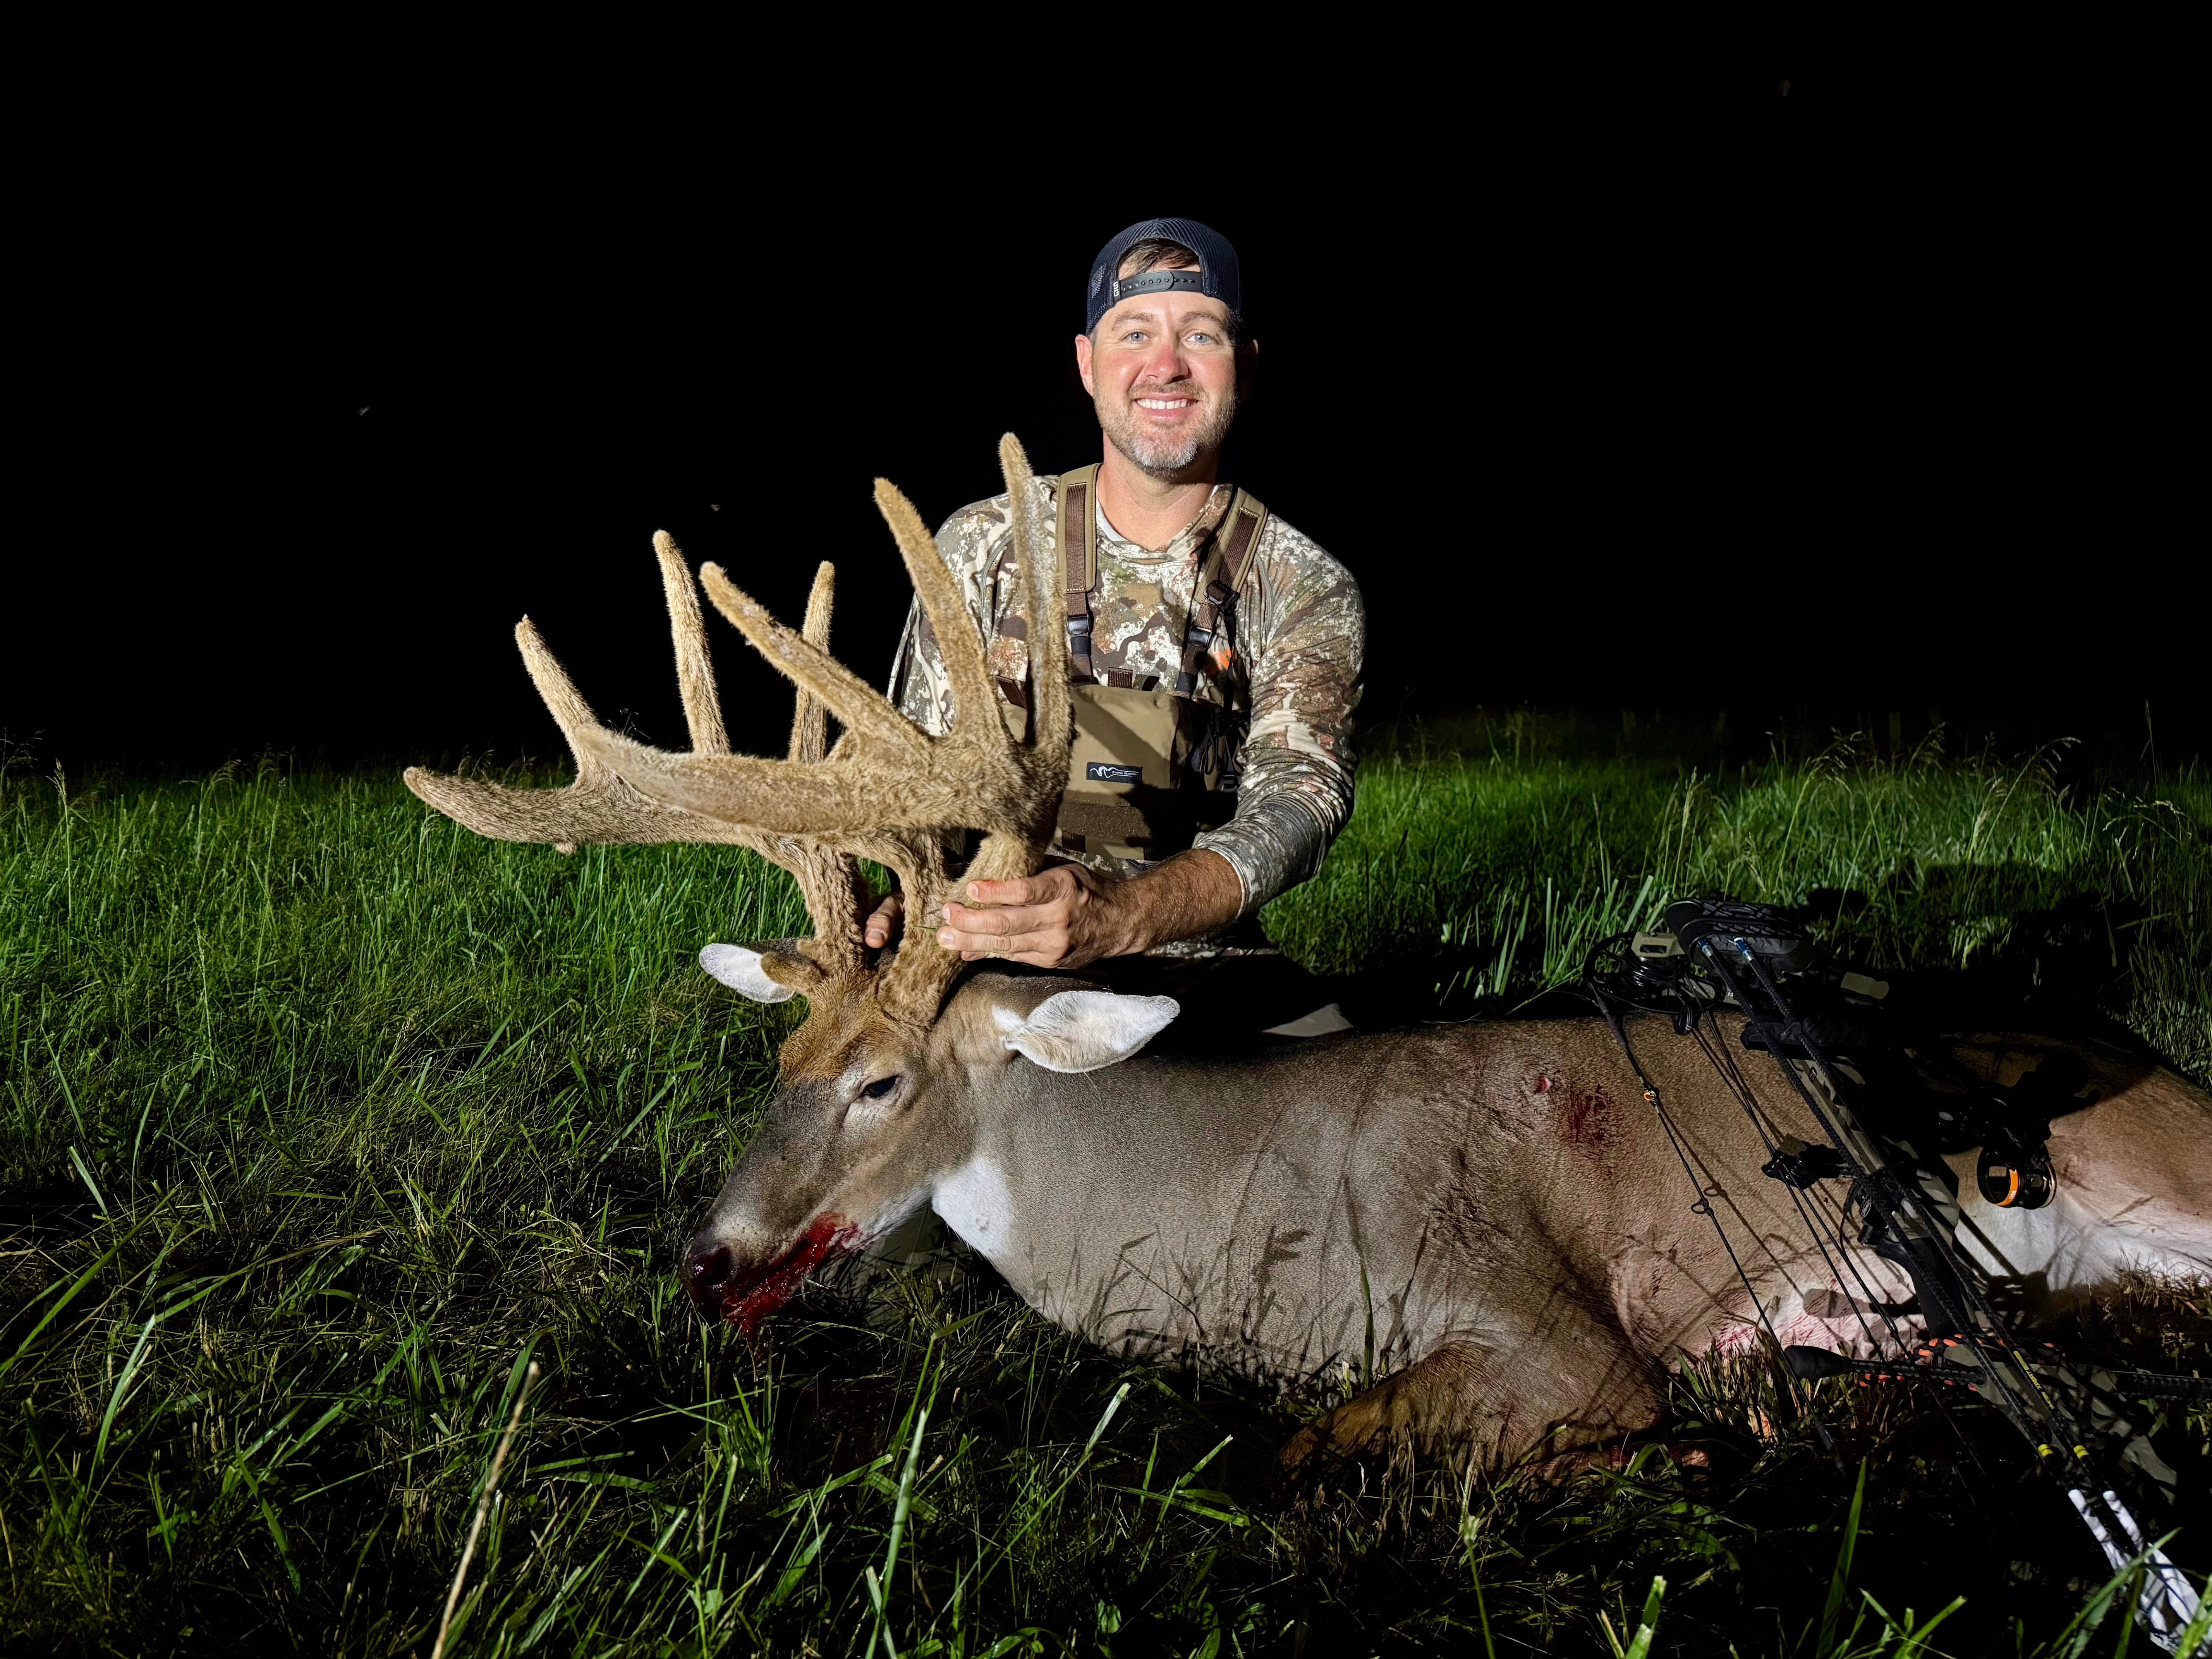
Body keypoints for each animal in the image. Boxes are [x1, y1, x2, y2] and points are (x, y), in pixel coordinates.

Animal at [405, 435, 2212, 1477]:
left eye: (881, 1081)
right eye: (778, 1058)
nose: (707, 1259)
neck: (1223, 1228)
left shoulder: (1548, 1332)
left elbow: (1299, 1455)